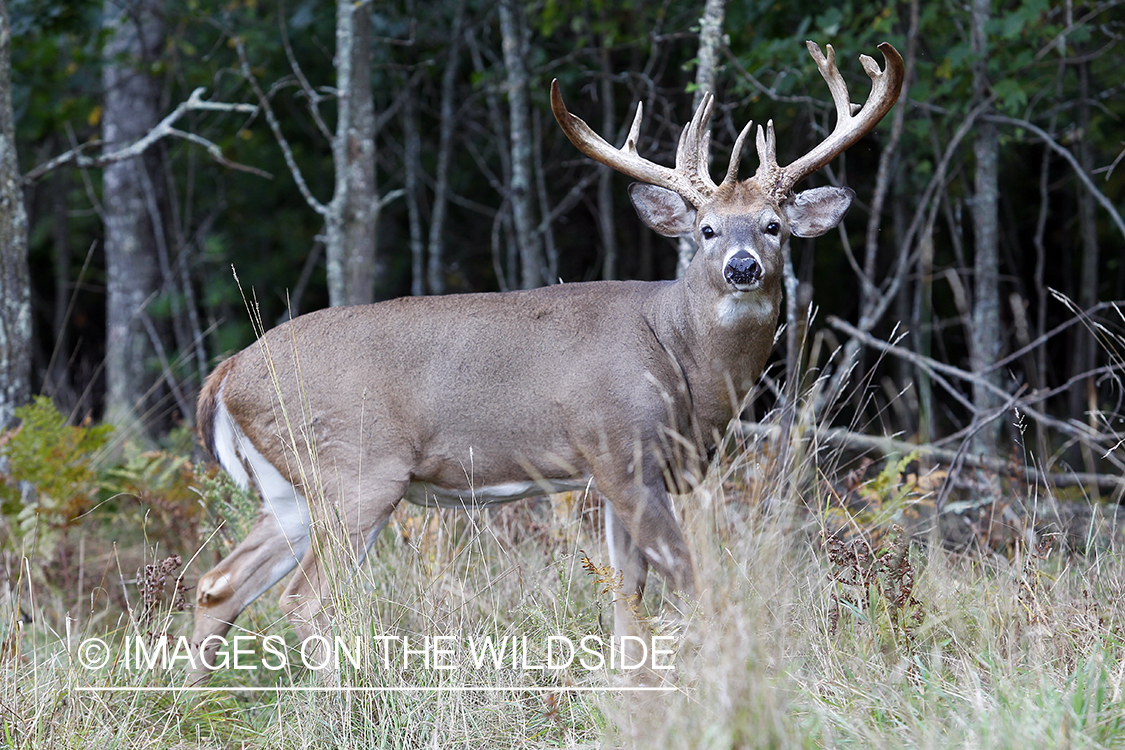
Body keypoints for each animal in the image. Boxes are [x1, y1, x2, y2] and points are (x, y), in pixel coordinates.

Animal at [186, 42, 904, 679]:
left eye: (773, 226)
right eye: (706, 230)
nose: (742, 266)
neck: (682, 363)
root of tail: (227, 374)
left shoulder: (625, 474)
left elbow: (626, 598)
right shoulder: (618, 451)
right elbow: (689, 583)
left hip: (291, 488)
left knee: (218, 583)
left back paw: (197, 699)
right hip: (357, 470)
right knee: (303, 598)